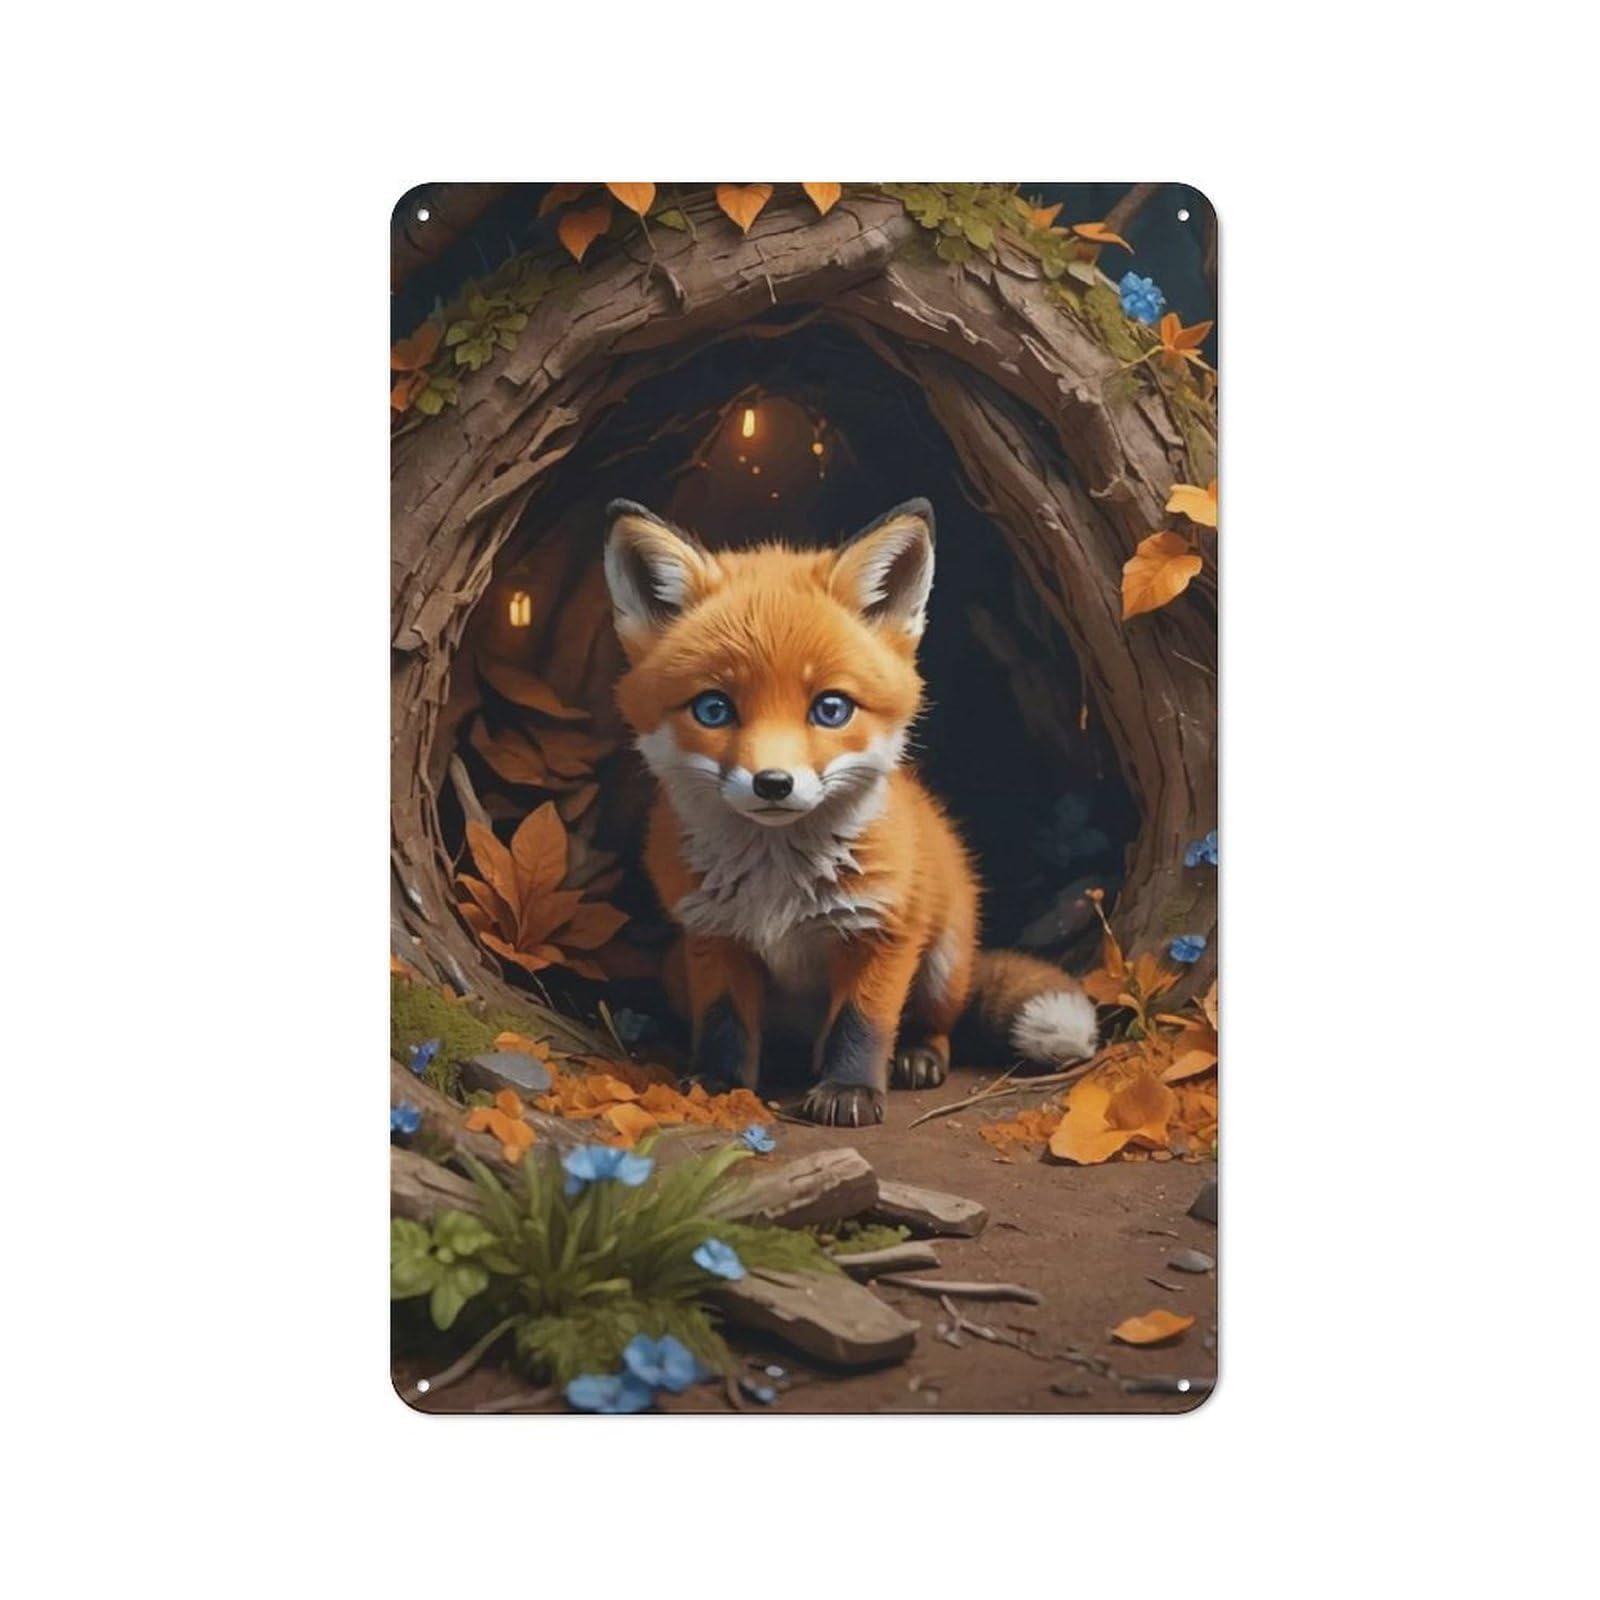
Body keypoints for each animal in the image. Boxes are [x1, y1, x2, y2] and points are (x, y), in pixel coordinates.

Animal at [603, 496, 1099, 1126]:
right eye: (713, 709)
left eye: (831, 708)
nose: (773, 784)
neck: (777, 884)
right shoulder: (713, 935)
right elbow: (724, 1022)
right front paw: (719, 1082)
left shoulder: (882, 931)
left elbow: (862, 1023)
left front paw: (851, 1089)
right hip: (675, 971)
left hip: (943, 964)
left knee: (937, 1023)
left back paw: (917, 1056)